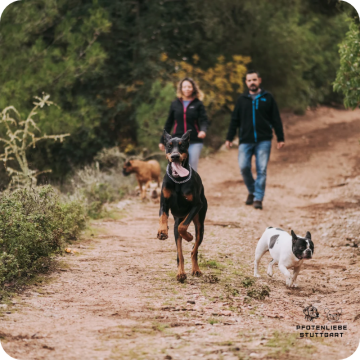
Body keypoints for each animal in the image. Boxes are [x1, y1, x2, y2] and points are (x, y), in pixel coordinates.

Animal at [156, 131, 207, 282]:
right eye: (169, 146)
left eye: (182, 145)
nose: (175, 156)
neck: (178, 180)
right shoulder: (164, 203)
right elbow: (163, 216)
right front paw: (162, 231)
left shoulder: (197, 205)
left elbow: (183, 227)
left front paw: (188, 236)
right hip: (177, 223)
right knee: (180, 253)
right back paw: (181, 273)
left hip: (200, 225)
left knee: (194, 250)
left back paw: (195, 269)